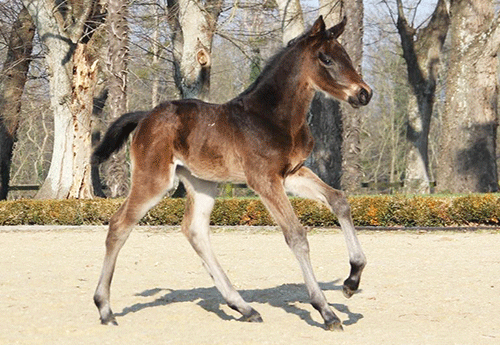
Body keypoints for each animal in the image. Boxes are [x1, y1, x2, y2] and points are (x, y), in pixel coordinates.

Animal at [94, 16, 374, 330]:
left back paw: (244, 307)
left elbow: (339, 200)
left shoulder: (292, 173)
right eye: (326, 58)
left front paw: (351, 281)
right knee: (119, 225)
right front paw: (326, 311)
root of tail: (144, 117)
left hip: (202, 183)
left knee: (195, 230)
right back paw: (105, 309)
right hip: (154, 180)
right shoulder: (264, 180)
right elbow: (296, 235)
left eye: (346, 55)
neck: (271, 117)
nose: (364, 93)